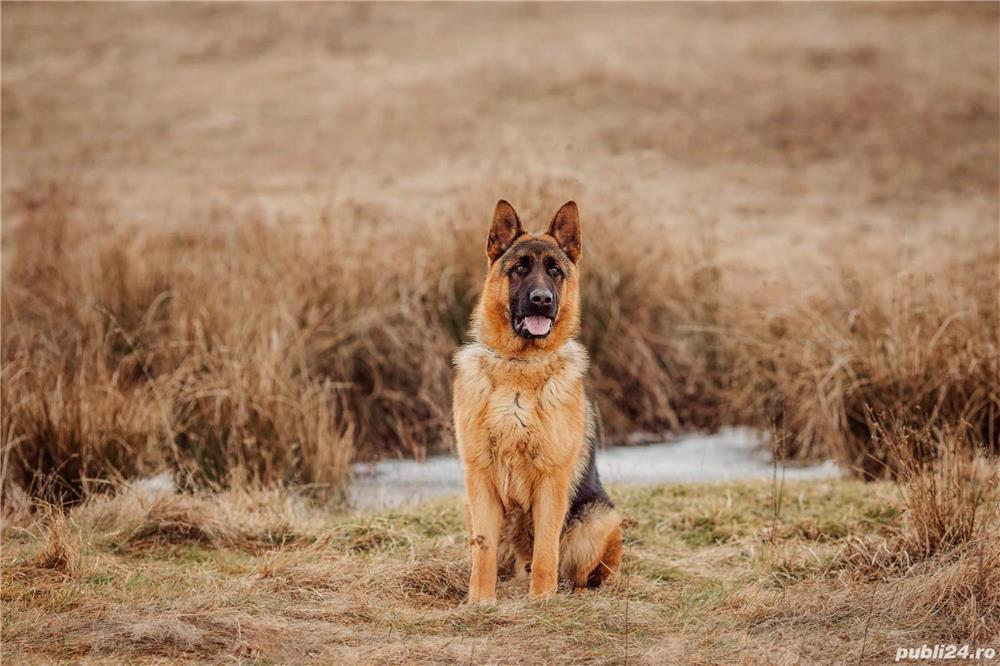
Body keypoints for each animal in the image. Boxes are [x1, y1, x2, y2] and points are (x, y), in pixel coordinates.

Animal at [452, 200, 616, 600]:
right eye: (520, 268)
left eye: (555, 271)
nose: (542, 300)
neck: (519, 368)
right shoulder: (480, 479)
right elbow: (483, 551)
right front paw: (480, 602)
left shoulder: (551, 481)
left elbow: (546, 550)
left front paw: (541, 601)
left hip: (600, 518)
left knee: (582, 572)